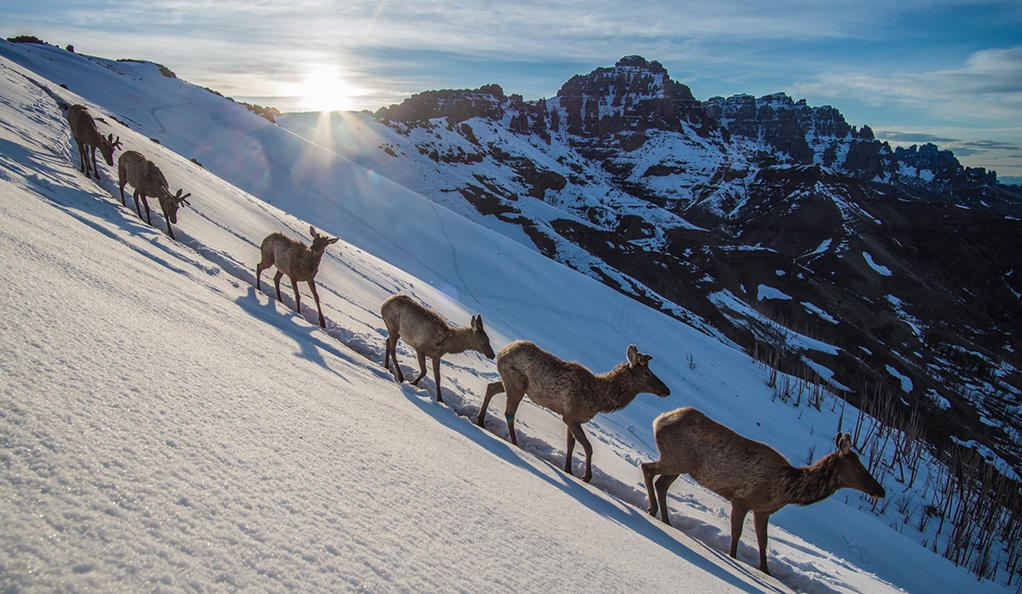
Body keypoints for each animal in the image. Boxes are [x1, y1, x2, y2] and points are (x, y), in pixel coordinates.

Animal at [637, 406, 887, 572]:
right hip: (677, 459)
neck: (786, 489)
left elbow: (763, 541)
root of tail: (659, 420)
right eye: (860, 467)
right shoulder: (741, 499)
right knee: (648, 469)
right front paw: (733, 557)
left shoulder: (763, 510)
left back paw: (666, 520)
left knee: (661, 483)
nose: (881, 491)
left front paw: (765, 570)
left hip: (681, 464)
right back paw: (652, 510)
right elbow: (737, 533)